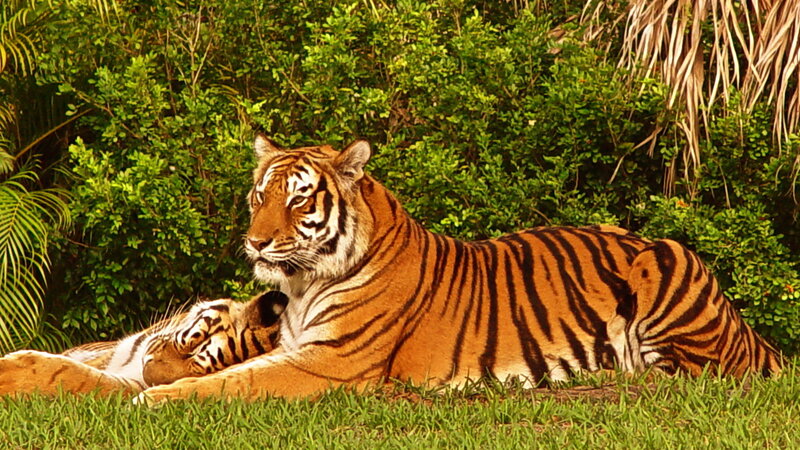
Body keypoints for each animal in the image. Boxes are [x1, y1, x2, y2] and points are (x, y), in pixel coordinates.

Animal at [135, 135, 784, 404]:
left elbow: (235, 382)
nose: (254, 241)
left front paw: (156, 399)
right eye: (259, 196)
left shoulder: (331, 362)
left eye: (297, 201)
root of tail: (755, 336)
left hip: (664, 262)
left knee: (686, 375)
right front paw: (155, 375)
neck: (301, 286)